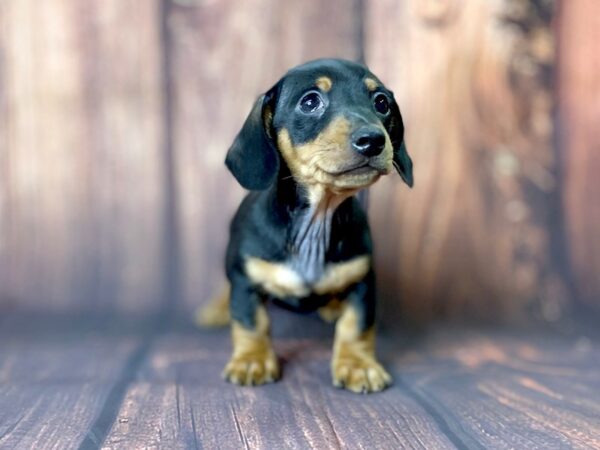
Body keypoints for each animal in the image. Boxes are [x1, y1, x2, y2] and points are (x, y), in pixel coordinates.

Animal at [202, 58, 412, 392]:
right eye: (310, 102)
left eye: (381, 103)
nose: (373, 140)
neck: (317, 221)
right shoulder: (245, 279)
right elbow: (251, 322)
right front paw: (252, 360)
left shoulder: (364, 281)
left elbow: (356, 326)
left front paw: (358, 365)